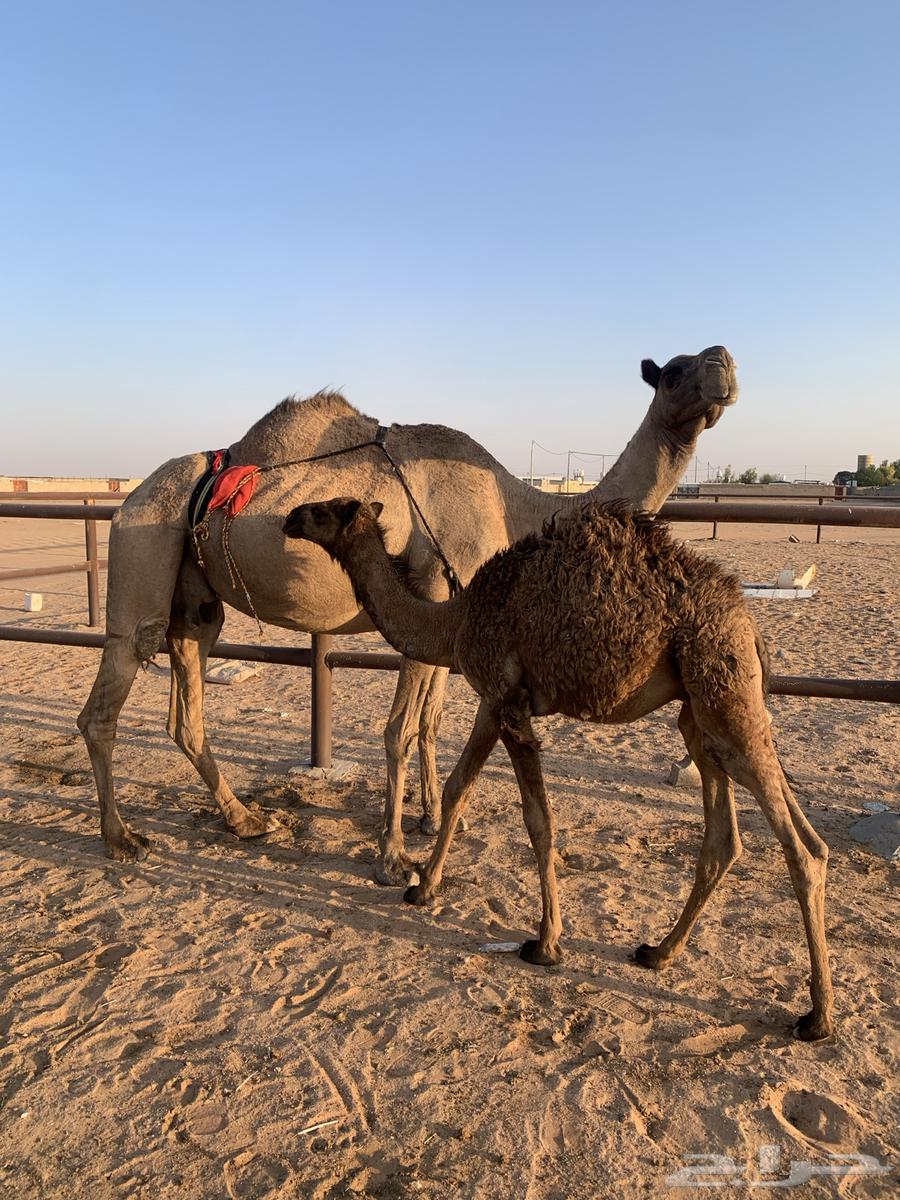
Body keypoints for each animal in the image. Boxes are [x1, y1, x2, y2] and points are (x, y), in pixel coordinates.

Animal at [78, 346, 738, 883]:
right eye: (674, 371)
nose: (723, 364)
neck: (512, 502)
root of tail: (128, 497)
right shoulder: (436, 594)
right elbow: (398, 729)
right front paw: (393, 855)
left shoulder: (452, 615)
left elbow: (430, 721)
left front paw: (434, 817)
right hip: (144, 542)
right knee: (109, 692)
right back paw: (122, 838)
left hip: (196, 600)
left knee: (186, 705)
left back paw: (245, 820)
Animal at [282, 496, 834, 1040]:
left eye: (326, 509)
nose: (289, 517)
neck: (456, 619)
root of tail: (750, 627)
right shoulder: (492, 700)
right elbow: (461, 787)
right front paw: (423, 887)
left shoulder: (507, 701)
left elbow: (537, 820)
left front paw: (545, 943)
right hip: (702, 714)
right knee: (728, 836)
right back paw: (658, 952)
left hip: (723, 690)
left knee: (801, 847)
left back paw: (817, 1016)